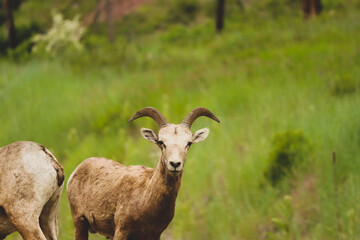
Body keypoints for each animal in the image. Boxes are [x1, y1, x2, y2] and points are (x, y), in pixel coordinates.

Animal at [67, 107, 219, 240]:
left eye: (189, 143)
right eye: (161, 142)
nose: (175, 164)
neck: (145, 197)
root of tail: (78, 169)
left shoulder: (154, 235)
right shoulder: (121, 231)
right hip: (79, 222)